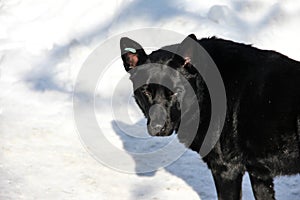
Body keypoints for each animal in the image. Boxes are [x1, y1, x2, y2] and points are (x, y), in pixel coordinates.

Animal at [120, 34, 300, 200]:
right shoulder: (259, 173)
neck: (203, 90)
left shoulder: (226, 170)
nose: (157, 129)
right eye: (146, 91)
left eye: (176, 91)